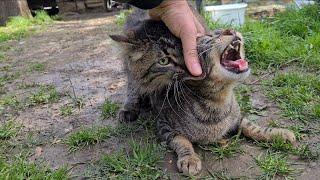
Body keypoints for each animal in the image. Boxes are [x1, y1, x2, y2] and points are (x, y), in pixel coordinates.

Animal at [111, 9, 296, 175]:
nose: (230, 30)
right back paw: (129, 108)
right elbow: (181, 141)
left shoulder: (237, 117)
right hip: (132, 71)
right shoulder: (165, 126)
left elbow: (252, 127)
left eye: (222, 31)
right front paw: (189, 159)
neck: (218, 101)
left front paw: (278, 133)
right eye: (209, 39)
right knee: (133, 86)